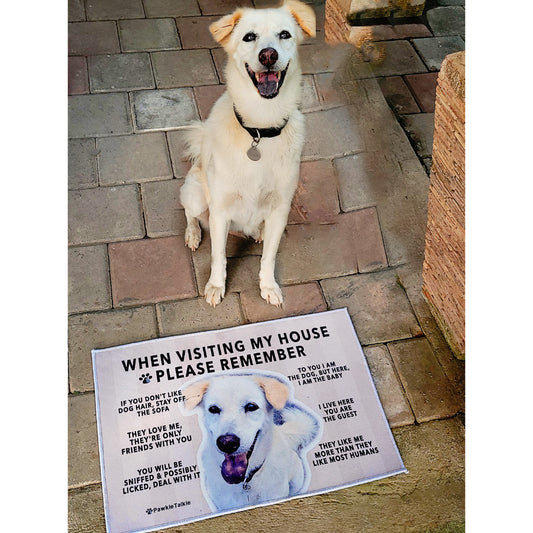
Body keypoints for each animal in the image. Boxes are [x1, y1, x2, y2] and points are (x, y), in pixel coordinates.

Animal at [180, 0, 316, 306]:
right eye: (249, 37)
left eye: (284, 34)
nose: (268, 55)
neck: (259, 130)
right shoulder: (219, 210)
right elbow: (218, 256)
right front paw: (216, 286)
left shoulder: (280, 209)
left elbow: (268, 258)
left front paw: (268, 286)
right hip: (195, 194)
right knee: (190, 214)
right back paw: (193, 233)